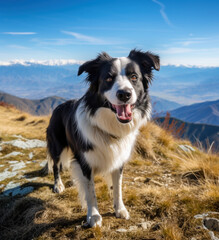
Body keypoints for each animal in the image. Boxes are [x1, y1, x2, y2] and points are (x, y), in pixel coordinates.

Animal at [46, 48, 159, 227]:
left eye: (134, 77)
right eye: (108, 78)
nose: (124, 94)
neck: (109, 128)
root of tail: (58, 106)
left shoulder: (119, 160)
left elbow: (118, 187)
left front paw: (120, 209)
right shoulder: (85, 163)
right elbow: (90, 192)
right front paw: (94, 216)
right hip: (57, 145)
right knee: (56, 165)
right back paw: (58, 185)